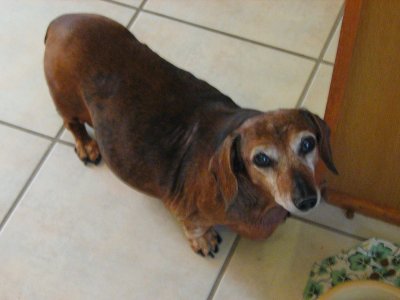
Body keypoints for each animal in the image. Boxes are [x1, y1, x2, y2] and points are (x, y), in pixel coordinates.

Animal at [43, 14, 338, 256]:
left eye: (308, 143)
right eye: (262, 159)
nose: (307, 200)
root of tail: (58, 22)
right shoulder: (185, 207)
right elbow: (194, 225)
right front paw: (204, 240)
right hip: (67, 101)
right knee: (71, 123)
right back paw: (86, 145)